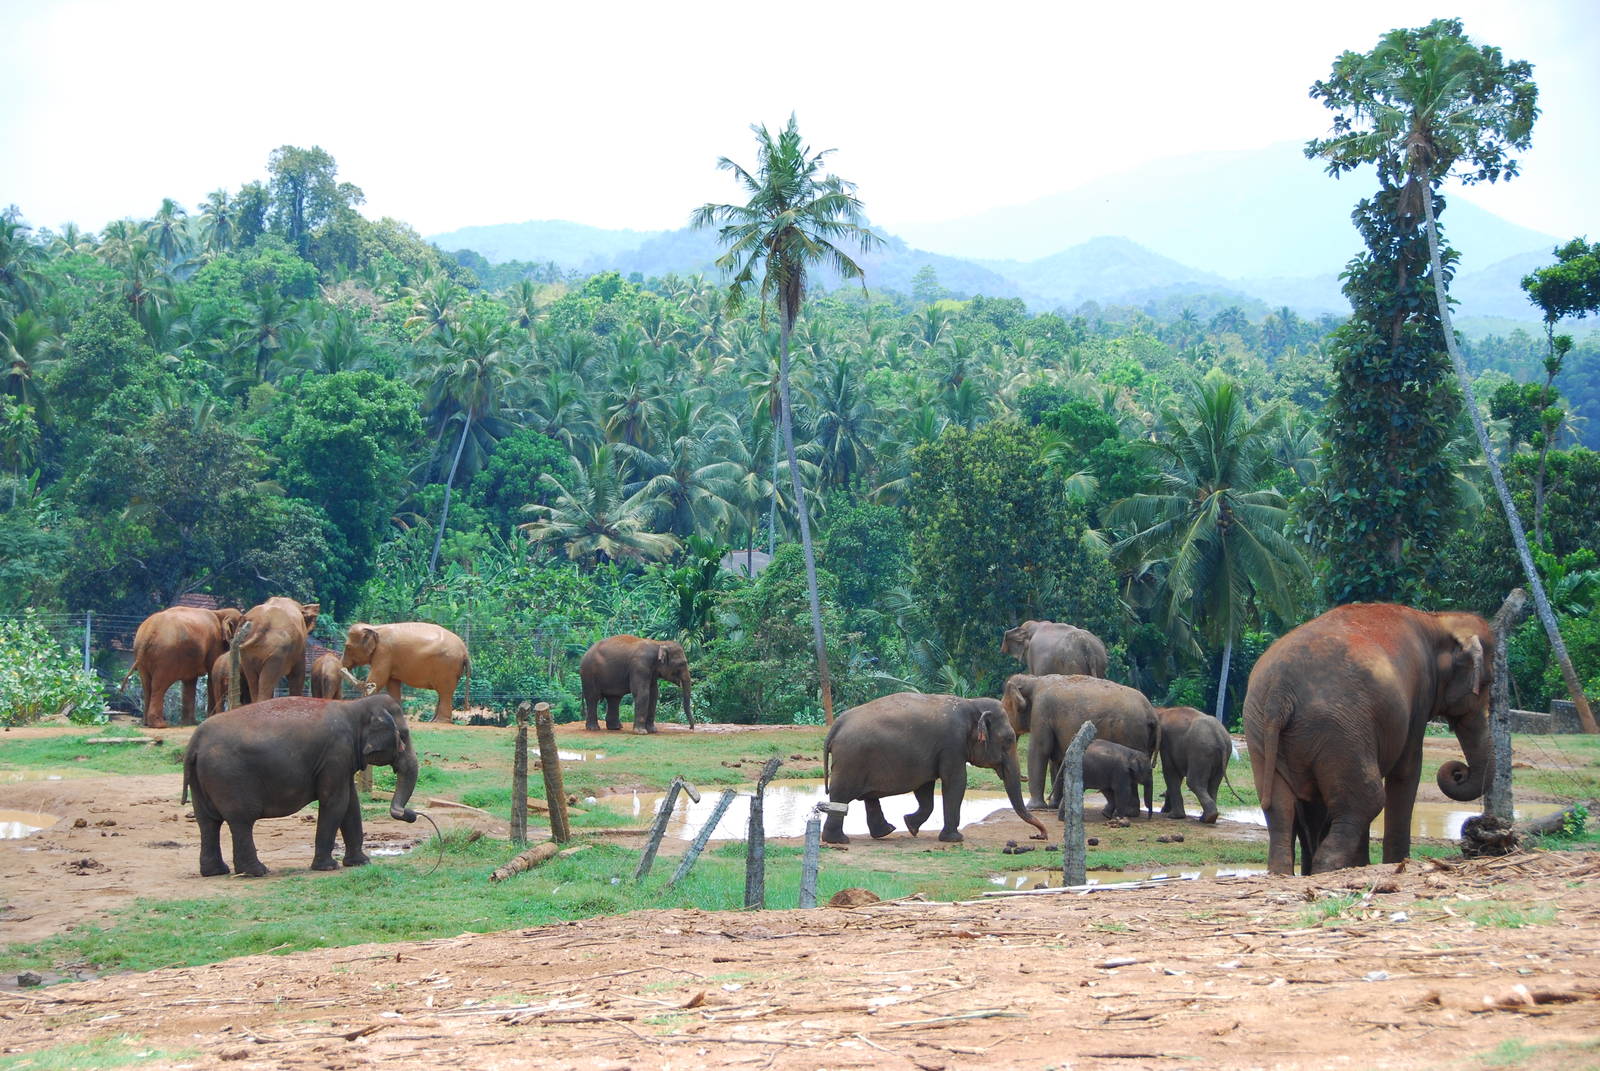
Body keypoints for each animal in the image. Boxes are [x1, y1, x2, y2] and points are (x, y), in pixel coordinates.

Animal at [181, 694, 419, 877]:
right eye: (404, 736)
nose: (411, 814)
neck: (354, 705)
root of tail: (194, 742)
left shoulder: (341, 760)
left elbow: (351, 804)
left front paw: (361, 862)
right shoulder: (336, 752)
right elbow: (336, 802)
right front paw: (328, 867)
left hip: (201, 779)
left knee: (208, 822)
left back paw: (216, 872)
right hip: (229, 776)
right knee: (241, 820)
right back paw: (257, 872)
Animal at [341, 623, 470, 724]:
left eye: (347, 647)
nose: (343, 669)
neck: (375, 627)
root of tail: (465, 651)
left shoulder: (384, 652)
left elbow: (379, 678)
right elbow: (392, 684)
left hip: (447, 667)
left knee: (445, 692)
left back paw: (439, 722)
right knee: (443, 693)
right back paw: (432, 720)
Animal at [821, 692, 1048, 845]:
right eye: (1009, 740)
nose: (1039, 835)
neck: (970, 703)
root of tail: (835, 727)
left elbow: (925, 789)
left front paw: (911, 826)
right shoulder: (952, 744)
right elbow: (955, 782)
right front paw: (955, 839)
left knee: (868, 797)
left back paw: (885, 832)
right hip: (851, 761)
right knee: (841, 795)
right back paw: (840, 841)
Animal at [1001, 674, 1159, 812]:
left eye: (1005, 710)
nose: (1023, 777)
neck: (1033, 679)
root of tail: (1152, 713)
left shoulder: (1041, 712)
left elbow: (1040, 751)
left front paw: (1034, 808)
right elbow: (1057, 759)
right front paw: (1053, 806)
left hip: (1131, 733)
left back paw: (1128, 813)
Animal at [1243, 603, 1494, 876]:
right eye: (1487, 683)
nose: (1458, 772)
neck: (1437, 619)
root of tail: (1280, 690)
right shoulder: (1419, 697)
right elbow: (1407, 771)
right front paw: (1395, 863)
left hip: (1261, 729)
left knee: (1280, 807)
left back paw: (1284, 872)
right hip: (1340, 728)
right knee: (1366, 798)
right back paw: (1327, 869)